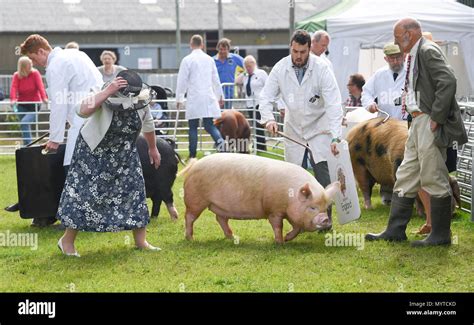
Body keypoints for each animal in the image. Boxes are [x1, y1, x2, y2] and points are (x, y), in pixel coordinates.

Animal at [180, 153, 338, 242]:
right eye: (312, 207)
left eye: (325, 208)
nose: (325, 219)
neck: (290, 197)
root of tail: (194, 164)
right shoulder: (273, 210)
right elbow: (277, 225)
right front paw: (280, 242)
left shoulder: (292, 215)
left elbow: (297, 228)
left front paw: (287, 238)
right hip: (195, 199)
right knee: (189, 217)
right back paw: (191, 239)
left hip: (219, 206)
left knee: (220, 219)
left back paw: (233, 237)